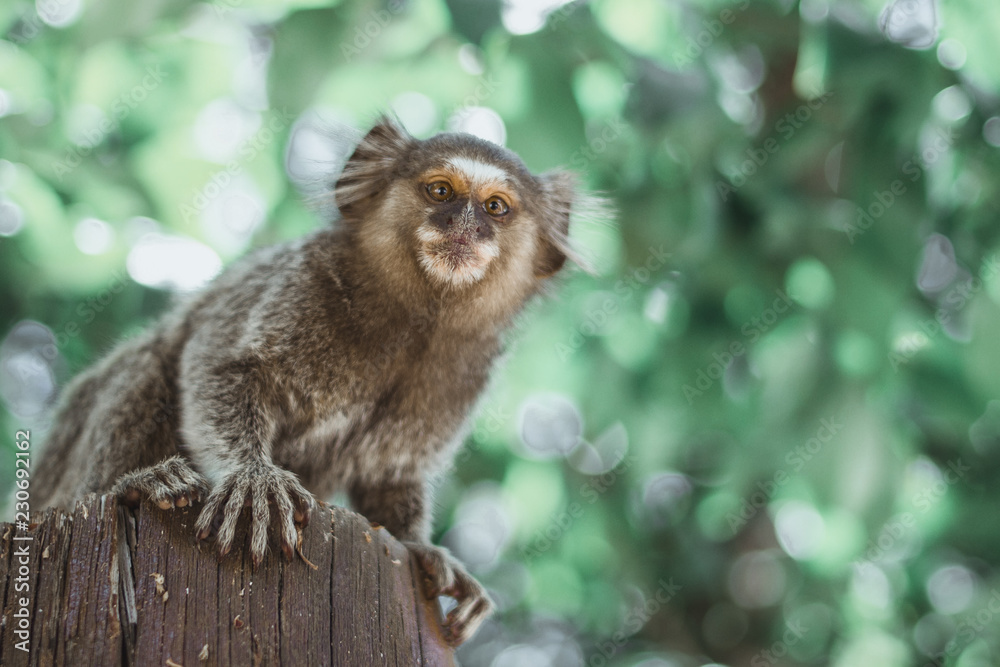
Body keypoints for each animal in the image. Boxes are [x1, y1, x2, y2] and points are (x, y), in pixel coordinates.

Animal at [30, 115, 587, 646]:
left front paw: (423, 548)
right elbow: (219, 364)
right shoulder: (303, 280)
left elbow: (389, 475)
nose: (465, 226)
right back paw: (135, 484)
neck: (419, 318)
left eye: (495, 207)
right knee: (148, 364)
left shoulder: (468, 369)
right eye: (440, 191)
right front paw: (253, 479)